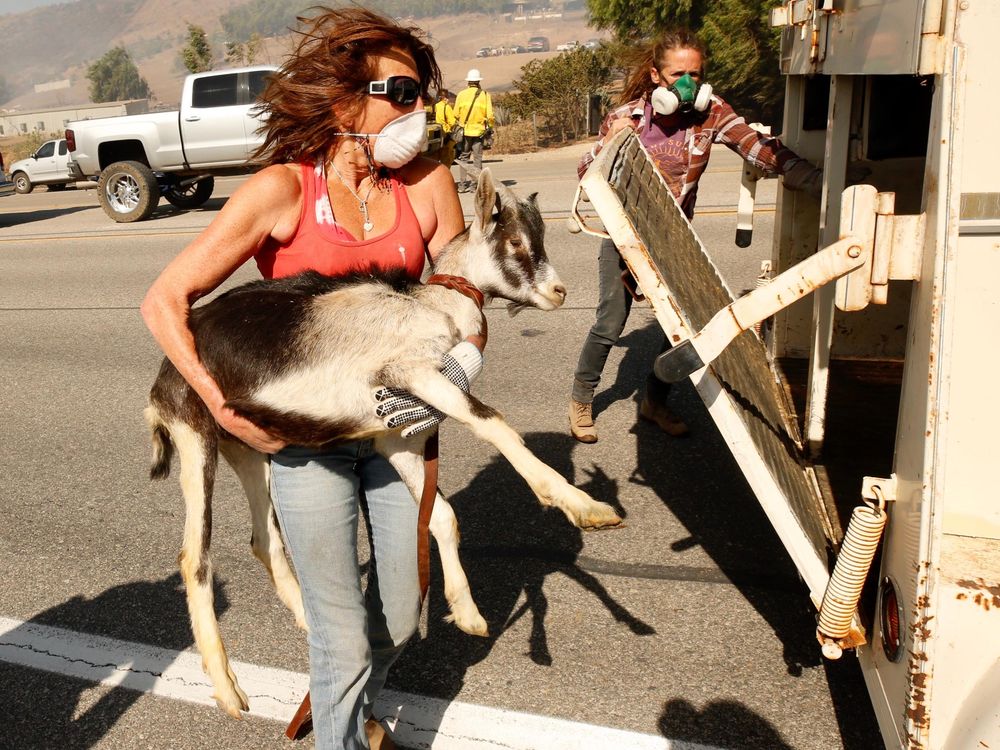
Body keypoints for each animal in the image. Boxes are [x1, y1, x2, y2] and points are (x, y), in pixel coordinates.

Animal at [145, 169, 620, 716]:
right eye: (516, 241)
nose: (558, 291)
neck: (431, 306)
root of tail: (160, 385)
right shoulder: (413, 373)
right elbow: (495, 425)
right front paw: (586, 507)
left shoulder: (397, 437)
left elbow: (441, 516)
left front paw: (468, 613)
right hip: (196, 440)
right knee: (194, 558)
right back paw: (227, 687)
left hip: (247, 449)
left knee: (265, 539)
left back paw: (307, 623)